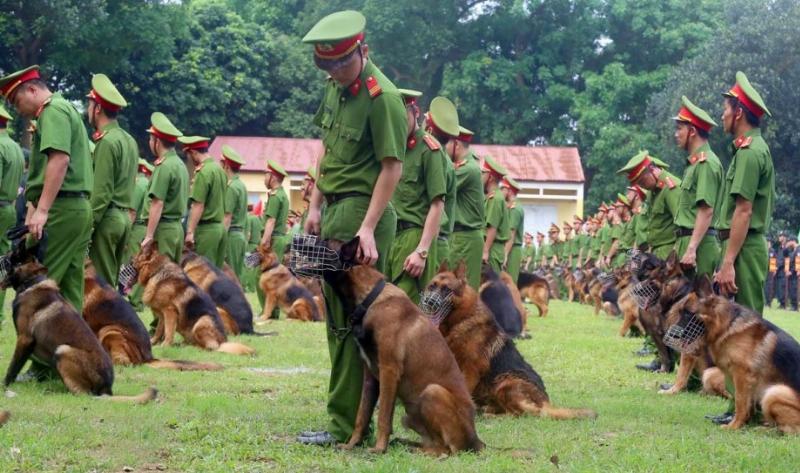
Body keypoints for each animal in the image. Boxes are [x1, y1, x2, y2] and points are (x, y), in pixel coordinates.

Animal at [3, 243, 156, 402]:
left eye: (11, 256)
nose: (3, 255)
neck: (32, 282)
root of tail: (107, 390)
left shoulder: (24, 339)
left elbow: (13, 367)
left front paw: (4, 386)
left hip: (64, 349)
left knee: (83, 394)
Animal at [316, 236, 484, 454]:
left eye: (324, 243)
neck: (371, 298)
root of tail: (476, 439)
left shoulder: (389, 370)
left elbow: (383, 417)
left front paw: (379, 449)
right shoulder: (371, 376)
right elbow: (362, 415)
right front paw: (352, 444)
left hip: (432, 391)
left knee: (445, 451)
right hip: (409, 415)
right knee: (433, 444)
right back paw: (408, 445)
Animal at [428, 260, 596, 418]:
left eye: (446, 289)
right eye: (431, 287)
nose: (430, 303)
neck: (461, 319)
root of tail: (545, 402)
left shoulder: (470, 369)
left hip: (506, 382)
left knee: (523, 413)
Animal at [680, 280, 800, 432]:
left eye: (688, 313)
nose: (677, 336)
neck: (727, 325)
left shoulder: (742, 376)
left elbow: (740, 402)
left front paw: (734, 426)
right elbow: (746, 404)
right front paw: (743, 423)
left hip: (774, 393)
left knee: (791, 430)